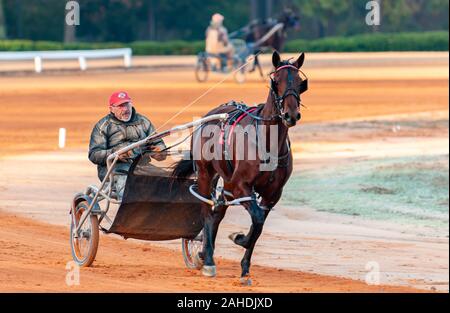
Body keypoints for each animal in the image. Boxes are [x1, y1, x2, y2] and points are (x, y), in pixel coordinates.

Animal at [171, 51, 306, 282]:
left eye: (299, 82)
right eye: (276, 81)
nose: (290, 114)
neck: (267, 142)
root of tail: (210, 115)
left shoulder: (272, 194)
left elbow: (258, 225)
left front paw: (244, 268)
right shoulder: (241, 186)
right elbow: (257, 219)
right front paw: (238, 238)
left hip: (226, 182)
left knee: (218, 212)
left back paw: (204, 252)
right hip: (206, 174)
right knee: (208, 212)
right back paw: (208, 261)